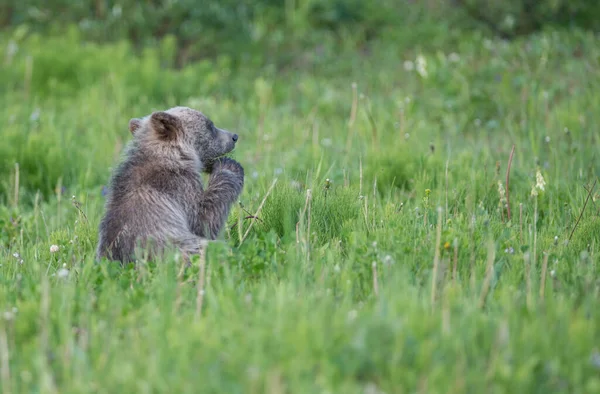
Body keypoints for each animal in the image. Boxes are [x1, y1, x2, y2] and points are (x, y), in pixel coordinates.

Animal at [95, 106, 244, 264]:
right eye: (210, 125)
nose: (234, 136)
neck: (173, 156)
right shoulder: (179, 188)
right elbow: (203, 219)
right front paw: (230, 166)